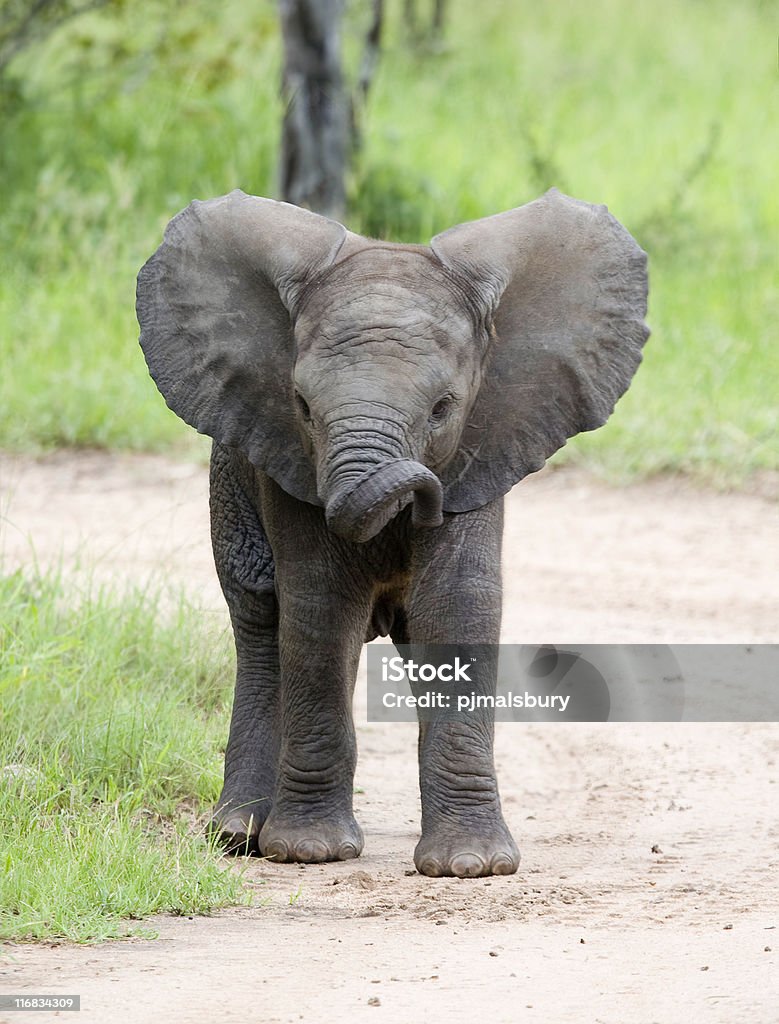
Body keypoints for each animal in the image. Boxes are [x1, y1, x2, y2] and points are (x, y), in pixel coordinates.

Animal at [137, 188, 646, 876]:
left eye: (443, 408)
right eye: (302, 405)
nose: (418, 497)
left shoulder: (483, 448)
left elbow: (457, 606)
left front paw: (471, 866)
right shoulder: (288, 461)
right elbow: (320, 608)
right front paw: (309, 853)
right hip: (231, 487)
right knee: (262, 625)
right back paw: (240, 834)